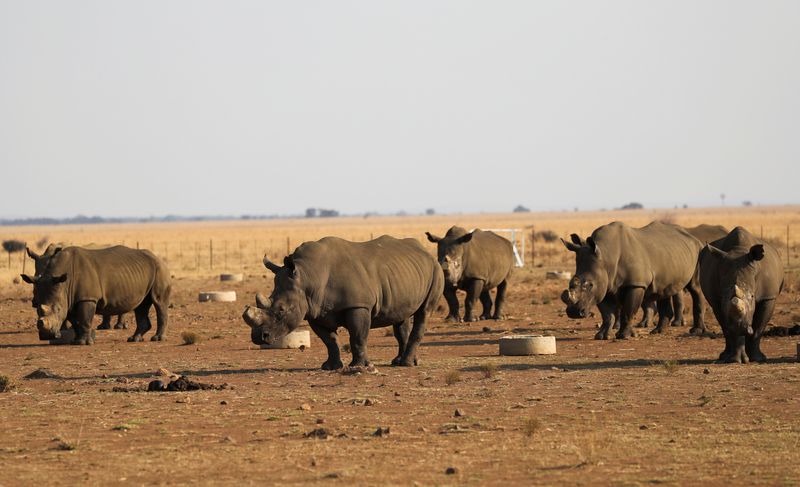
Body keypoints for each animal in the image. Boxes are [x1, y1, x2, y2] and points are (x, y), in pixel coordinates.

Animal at [21, 246, 171, 346]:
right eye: (37, 309)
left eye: (58, 310)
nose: (46, 335)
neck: (64, 283)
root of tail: (159, 257)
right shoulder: (71, 299)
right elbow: (75, 321)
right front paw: (75, 341)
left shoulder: (87, 298)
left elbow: (84, 318)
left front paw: (83, 343)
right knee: (141, 305)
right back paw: (134, 339)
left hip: (160, 269)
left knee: (159, 302)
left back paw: (157, 339)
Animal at [244, 237, 444, 370]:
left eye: (281, 310)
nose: (258, 337)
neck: (308, 276)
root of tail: (426, 253)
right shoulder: (315, 311)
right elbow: (330, 341)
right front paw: (330, 367)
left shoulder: (358, 305)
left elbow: (357, 337)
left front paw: (358, 367)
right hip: (404, 275)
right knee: (401, 317)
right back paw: (401, 361)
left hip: (436, 270)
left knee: (424, 312)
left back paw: (406, 364)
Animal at [560, 221, 704, 340]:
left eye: (590, 285)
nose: (573, 313)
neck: (606, 256)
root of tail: (694, 238)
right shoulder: (604, 286)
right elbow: (607, 314)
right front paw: (601, 336)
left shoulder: (635, 284)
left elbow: (628, 311)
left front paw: (624, 336)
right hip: (672, 254)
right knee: (664, 290)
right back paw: (658, 331)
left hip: (698, 250)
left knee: (695, 288)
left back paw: (695, 331)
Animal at [700, 228, 780, 362]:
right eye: (722, 297)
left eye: (752, 296)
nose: (739, 327)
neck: (738, 250)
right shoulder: (716, 300)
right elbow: (727, 329)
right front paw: (735, 360)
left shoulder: (768, 297)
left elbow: (758, 328)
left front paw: (758, 359)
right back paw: (724, 357)